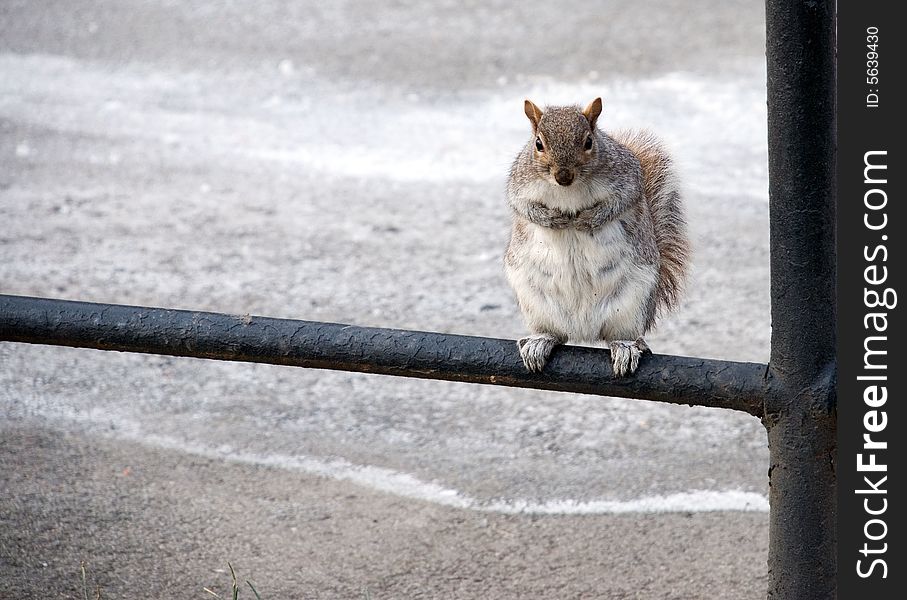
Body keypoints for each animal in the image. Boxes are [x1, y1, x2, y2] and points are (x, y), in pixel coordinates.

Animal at [504, 98, 688, 376]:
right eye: (538, 144)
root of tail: (583, 330)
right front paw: (551, 219)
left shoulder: (627, 176)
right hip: (534, 303)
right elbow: (523, 206)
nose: (563, 176)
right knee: (555, 334)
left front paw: (589, 219)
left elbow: (621, 201)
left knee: (621, 334)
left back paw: (625, 347)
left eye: (588, 142)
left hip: (634, 301)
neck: (568, 191)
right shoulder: (519, 183)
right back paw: (540, 342)